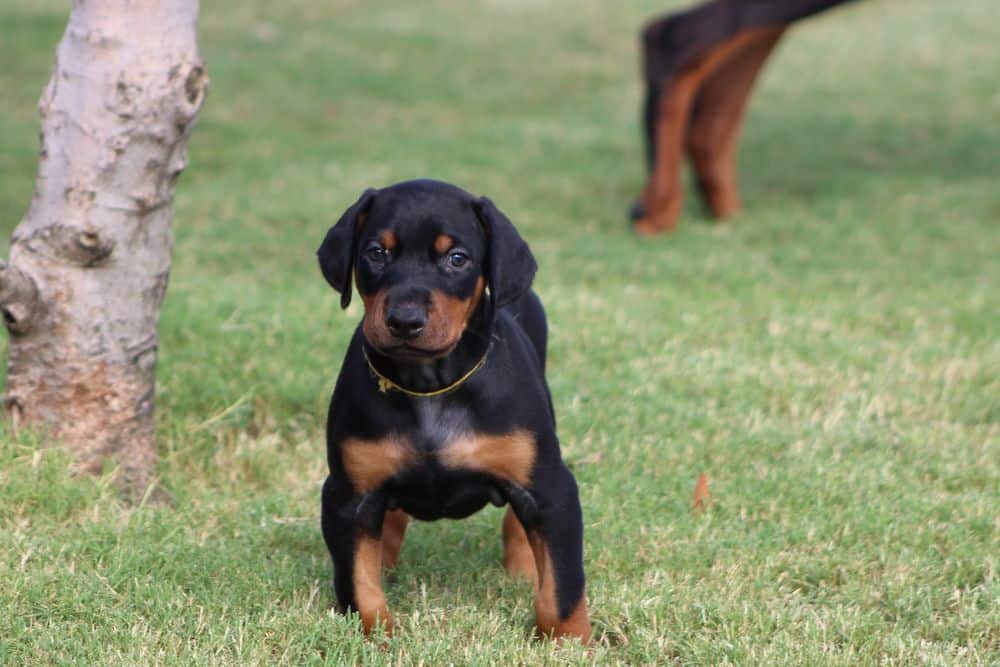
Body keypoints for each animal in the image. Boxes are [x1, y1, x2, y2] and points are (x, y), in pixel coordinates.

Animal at [316, 180, 588, 644]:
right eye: (376, 253)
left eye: (457, 258)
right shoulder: (347, 496)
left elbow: (563, 587)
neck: (429, 385)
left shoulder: (553, 490)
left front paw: (571, 644)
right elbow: (358, 586)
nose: (404, 320)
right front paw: (377, 640)